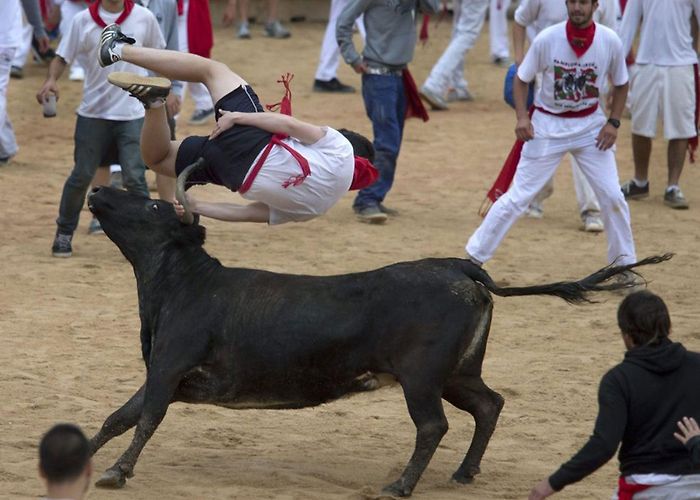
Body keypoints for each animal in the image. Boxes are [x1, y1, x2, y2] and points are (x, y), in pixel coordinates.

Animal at [85, 186, 670, 496]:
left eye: (152, 206)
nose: (98, 190)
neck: (184, 282)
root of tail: (460, 268)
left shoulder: (168, 369)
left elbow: (145, 418)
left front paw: (115, 473)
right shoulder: (162, 373)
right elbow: (118, 416)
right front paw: (84, 456)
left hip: (421, 378)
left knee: (434, 424)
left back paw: (401, 485)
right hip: (458, 372)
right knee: (489, 404)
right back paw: (463, 472)